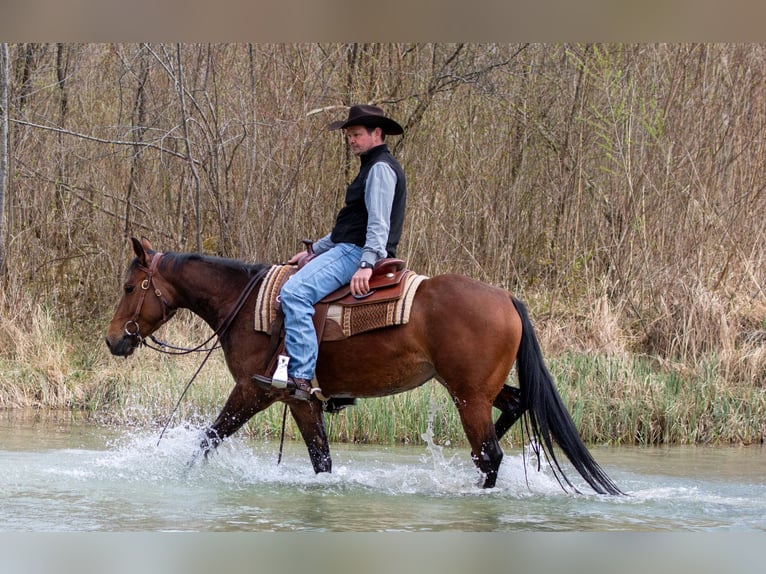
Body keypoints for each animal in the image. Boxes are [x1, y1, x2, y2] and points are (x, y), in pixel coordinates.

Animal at [105, 237, 622, 495]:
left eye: (130, 287)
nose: (113, 340)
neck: (246, 303)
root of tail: (507, 299)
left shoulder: (256, 391)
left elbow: (207, 440)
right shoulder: (301, 401)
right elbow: (322, 461)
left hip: (469, 395)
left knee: (489, 454)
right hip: (479, 388)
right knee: (512, 411)